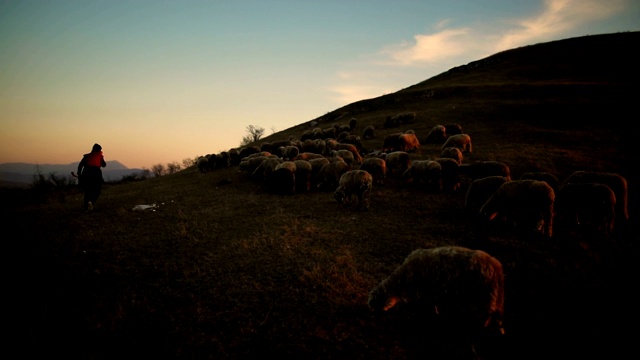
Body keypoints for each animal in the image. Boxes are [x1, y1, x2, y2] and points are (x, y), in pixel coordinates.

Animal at [368, 246, 508, 336]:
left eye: (375, 303)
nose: (372, 316)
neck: (403, 279)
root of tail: (497, 266)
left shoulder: (427, 290)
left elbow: (429, 306)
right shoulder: (433, 292)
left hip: (484, 295)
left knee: (487, 314)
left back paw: (481, 327)